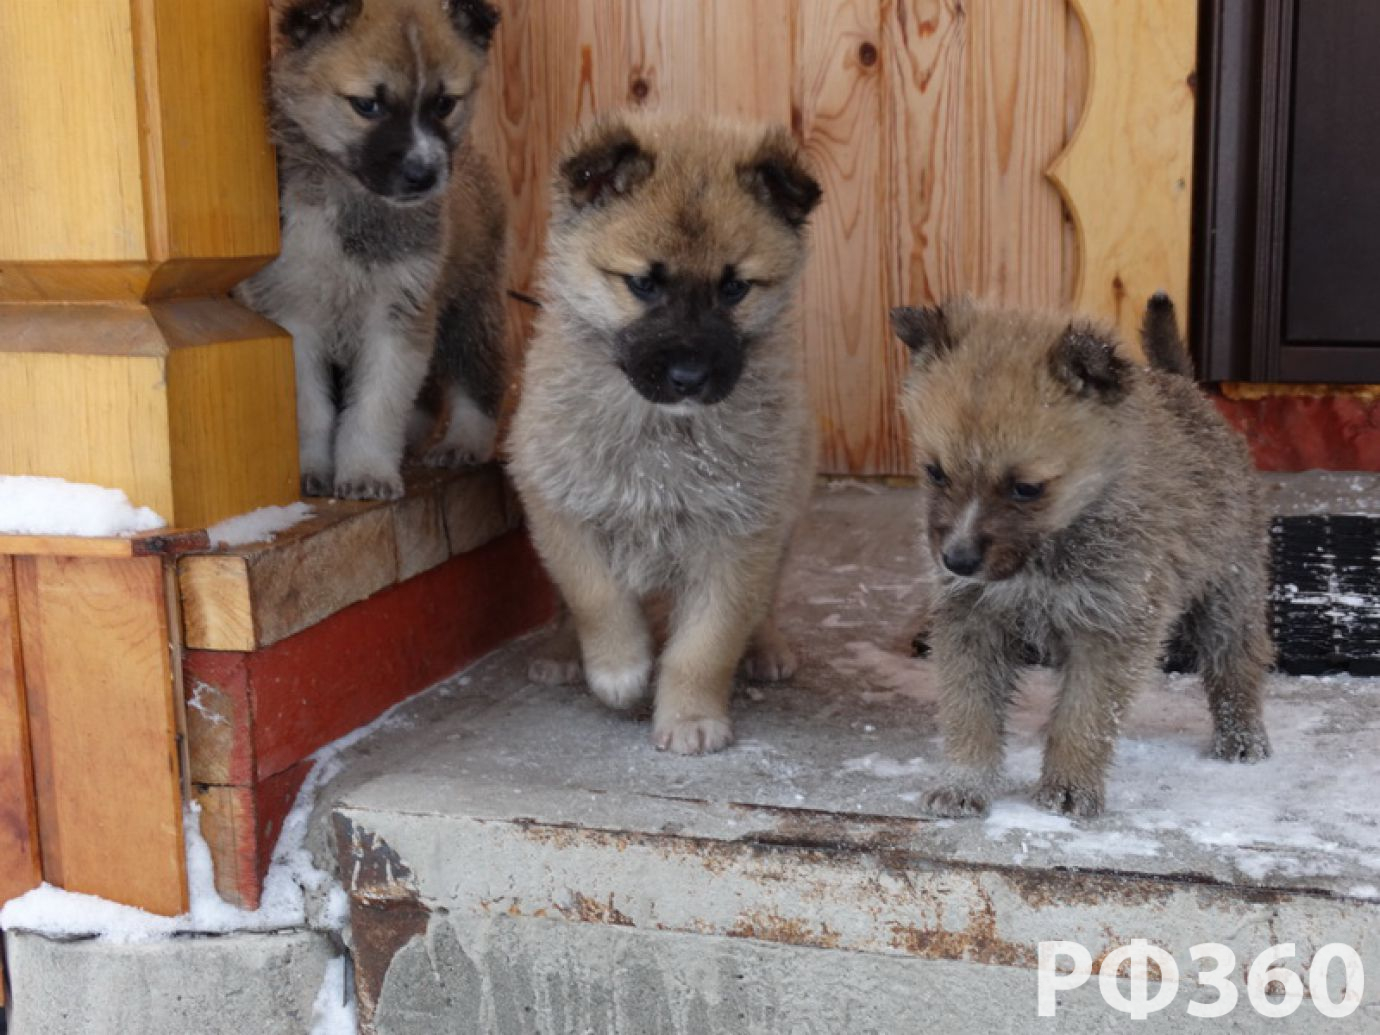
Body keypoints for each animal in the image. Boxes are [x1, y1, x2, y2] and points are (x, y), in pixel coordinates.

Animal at [237, 0, 507, 502]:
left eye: (444, 103)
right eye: (368, 105)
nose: (425, 174)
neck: (354, 207)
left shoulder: (399, 314)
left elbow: (376, 408)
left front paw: (366, 472)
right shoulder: (293, 313)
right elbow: (311, 408)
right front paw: (311, 469)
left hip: (472, 305)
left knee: (477, 381)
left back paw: (463, 443)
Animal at [513, 113, 822, 756]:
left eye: (734, 288)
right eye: (643, 284)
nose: (688, 376)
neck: (661, 433)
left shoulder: (739, 534)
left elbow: (708, 643)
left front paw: (690, 717)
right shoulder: (560, 506)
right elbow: (593, 596)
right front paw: (618, 669)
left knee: (764, 604)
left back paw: (767, 646)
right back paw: (561, 653)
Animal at [894, 293, 1269, 816]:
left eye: (1027, 488)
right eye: (935, 472)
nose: (957, 561)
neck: (1048, 552)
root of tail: (1187, 387)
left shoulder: (1111, 626)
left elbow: (1084, 716)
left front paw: (1070, 786)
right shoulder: (972, 620)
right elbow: (970, 709)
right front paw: (965, 781)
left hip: (1229, 591)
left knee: (1237, 663)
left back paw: (1242, 734)